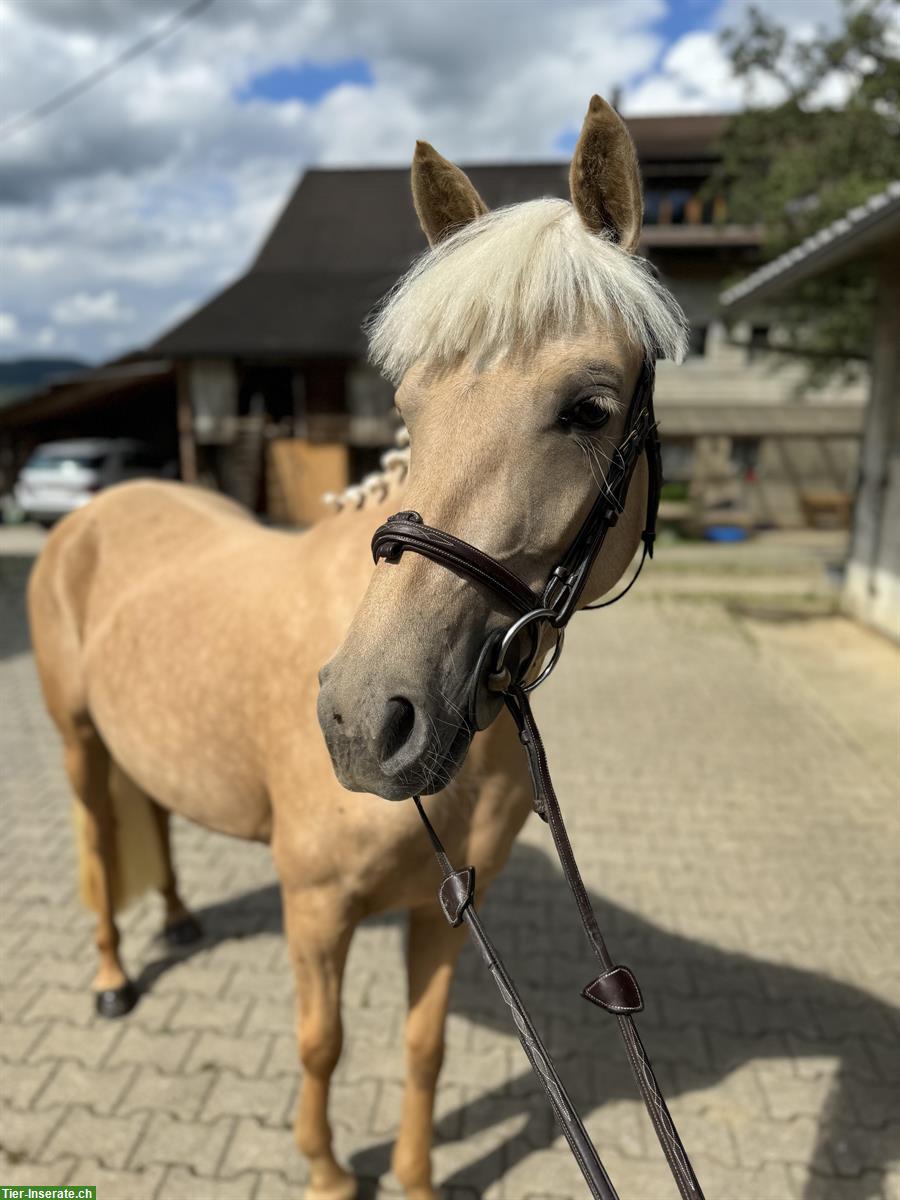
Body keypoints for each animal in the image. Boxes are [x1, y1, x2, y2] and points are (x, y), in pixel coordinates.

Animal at [31, 96, 686, 1200]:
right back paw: (117, 977)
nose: (364, 721)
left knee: (151, 816)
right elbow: (321, 1044)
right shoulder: (318, 910)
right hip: (77, 742)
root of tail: (88, 514)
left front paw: (415, 1180)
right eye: (410, 409)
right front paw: (331, 1174)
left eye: (590, 407)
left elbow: (423, 1049)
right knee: (93, 840)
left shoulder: (445, 911)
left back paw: (180, 921)